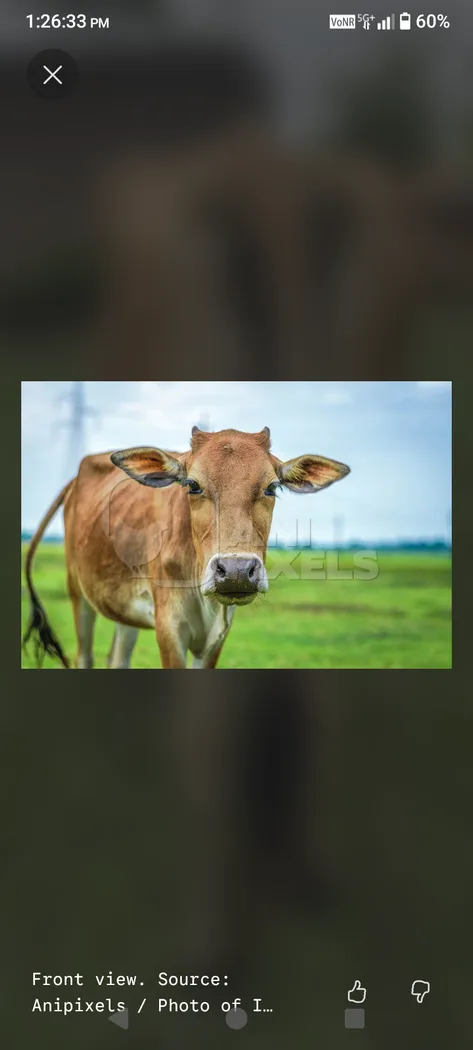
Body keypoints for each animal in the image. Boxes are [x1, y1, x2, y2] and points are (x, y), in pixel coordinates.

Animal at [23, 426, 349, 669]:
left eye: (271, 487)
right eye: (192, 485)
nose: (236, 571)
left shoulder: (217, 636)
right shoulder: (169, 629)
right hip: (78, 592)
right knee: (84, 657)